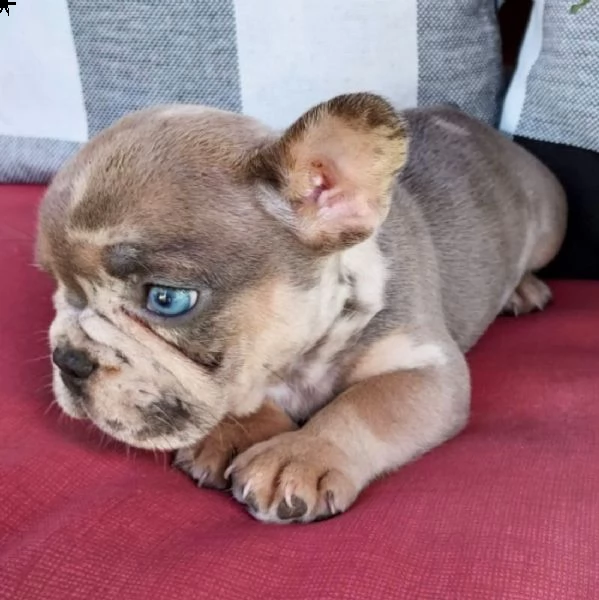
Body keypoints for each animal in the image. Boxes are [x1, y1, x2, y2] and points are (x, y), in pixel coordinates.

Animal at [36, 91, 568, 524]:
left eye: (166, 299)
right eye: (61, 289)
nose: (68, 360)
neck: (300, 360)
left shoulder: (426, 368)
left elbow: (366, 404)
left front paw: (301, 455)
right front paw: (237, 431)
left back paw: (522, 289)